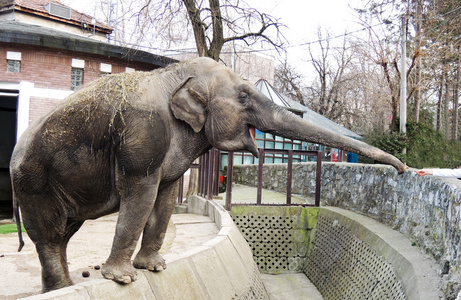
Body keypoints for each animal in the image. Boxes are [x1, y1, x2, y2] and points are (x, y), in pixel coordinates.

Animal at [8, 56, 402, 292]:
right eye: (244, 97)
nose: (402, 169)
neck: (174, 74)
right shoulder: (142, 134)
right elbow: (141, 194)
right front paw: (123, 278)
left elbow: (166, 197)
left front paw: (155, 268)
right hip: (34, 183)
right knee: (50, 235)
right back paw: (63, 288)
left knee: (63, 234)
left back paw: (64, 287)